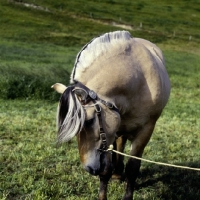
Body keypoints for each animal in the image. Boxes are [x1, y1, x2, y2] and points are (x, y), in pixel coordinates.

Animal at [52, 30, 170, 199]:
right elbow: (106, 169)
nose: (89, 168)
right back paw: (117, 172)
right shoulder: (108, 135)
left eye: (89, 121)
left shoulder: (146, 130)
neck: (136, 81)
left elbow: (133, 168)